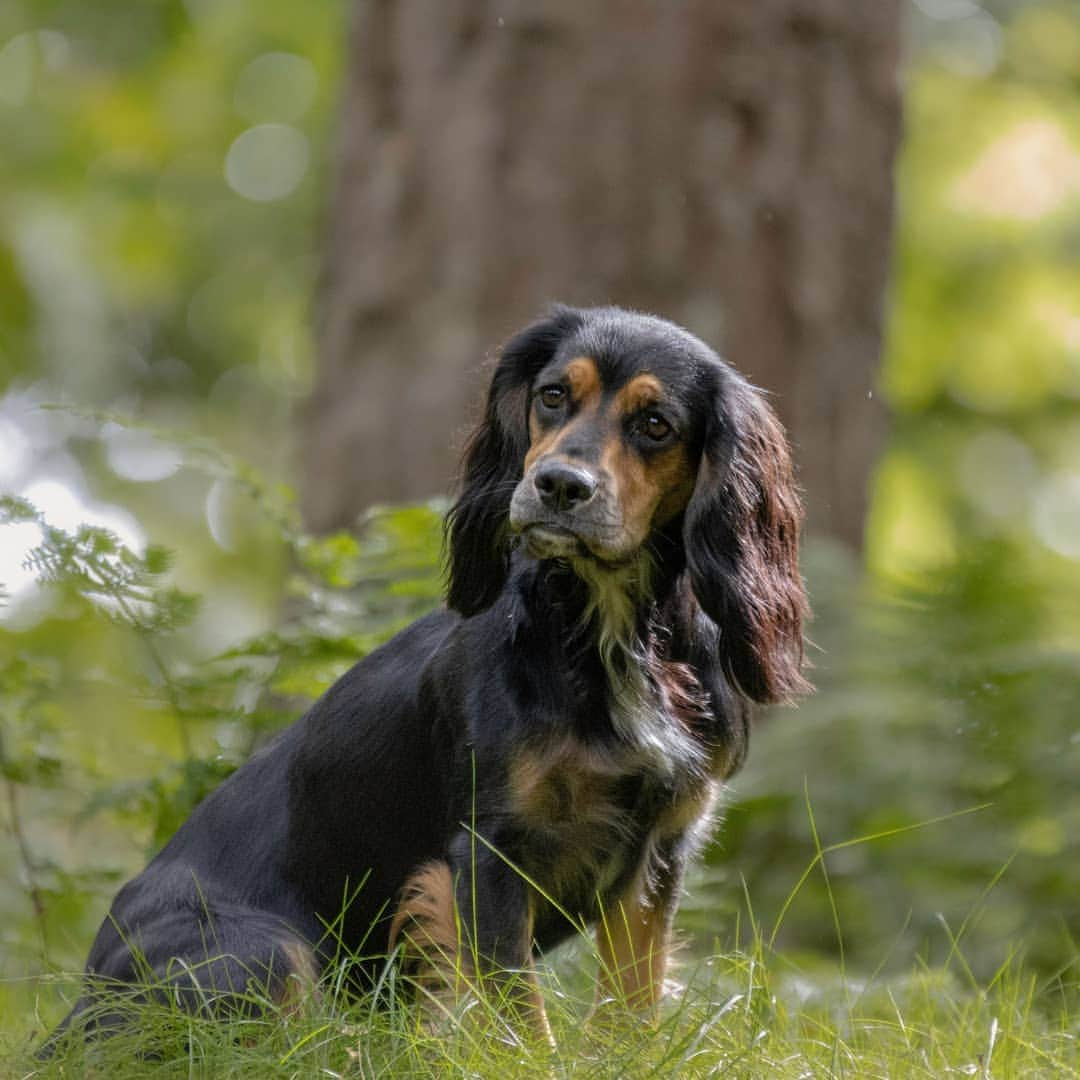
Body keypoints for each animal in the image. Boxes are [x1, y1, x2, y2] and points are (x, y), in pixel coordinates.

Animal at [46, 302, 807, 1045]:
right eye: (553, 395)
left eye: (655, 425)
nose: (559, 485)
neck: (607, 633)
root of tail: (80, 1001)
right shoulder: (490, 849)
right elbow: (518, 1014)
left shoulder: (660, 848)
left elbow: (632, 1001)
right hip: (262, 952)